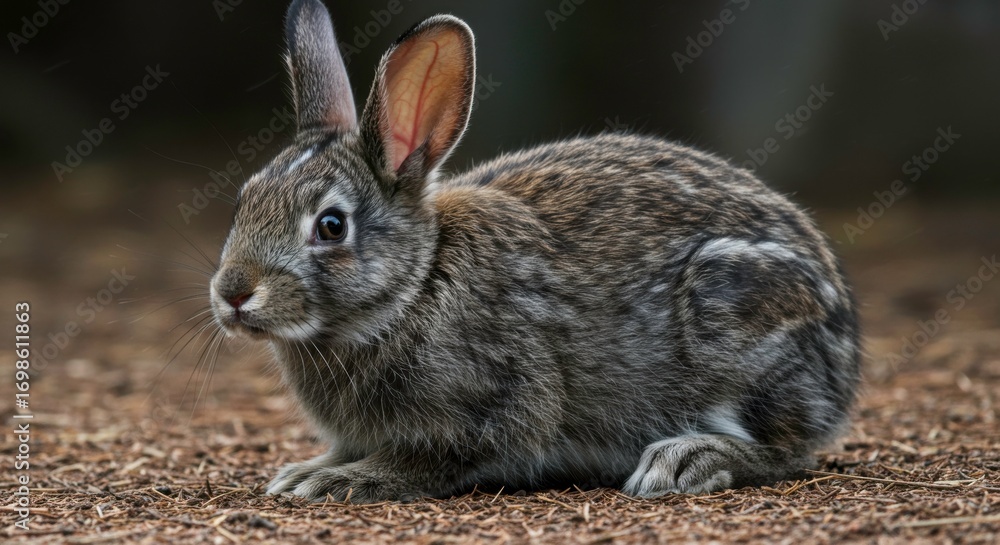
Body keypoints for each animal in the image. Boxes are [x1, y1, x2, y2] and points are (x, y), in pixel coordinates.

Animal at [208, 0, 860, 503]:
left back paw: (685, 460)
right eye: (243, 201)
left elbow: (431, 461)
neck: (413, 289)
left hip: (732, 305)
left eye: (331, 226)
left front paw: (335, 483)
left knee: (787, 450)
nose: (233, 294)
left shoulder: (493, 408)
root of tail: (845, 354)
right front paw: (302, 471)